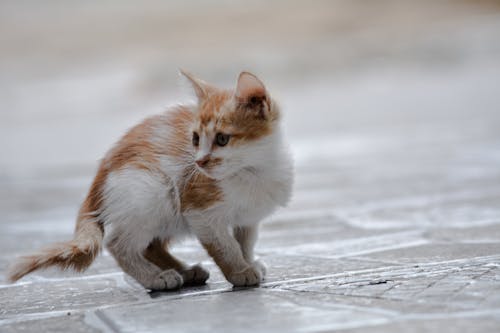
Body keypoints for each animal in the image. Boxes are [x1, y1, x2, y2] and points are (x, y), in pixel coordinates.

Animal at [7, 71, 292, 290]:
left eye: (222, 139)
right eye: (195, 139)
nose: (199, 162)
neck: (252, 172)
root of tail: (99, 177)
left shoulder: (249, 217)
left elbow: (245, 241)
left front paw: (248, 261)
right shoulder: (199, 210)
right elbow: (224, 246)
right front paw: (239, 271)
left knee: (150, 246)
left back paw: (185, 272)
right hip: (153, 191)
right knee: (118, 243)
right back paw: (155, 278)